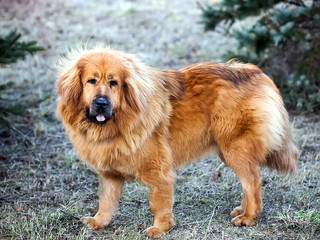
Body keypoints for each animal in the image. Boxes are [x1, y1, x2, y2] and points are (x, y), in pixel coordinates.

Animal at [56, 46, 298, 237]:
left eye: (113, 83)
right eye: (91, 81)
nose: (101, 103)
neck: (117, 123)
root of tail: (256, 73)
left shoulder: (158, 172)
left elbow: (158, 204)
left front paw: (160, 228)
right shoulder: (110, 175)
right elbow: (106, 202)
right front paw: (99, 222)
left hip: (234, 148)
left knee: (253, 182)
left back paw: (249, 217)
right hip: (227, 149)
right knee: (249, 180)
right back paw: (243, 210)